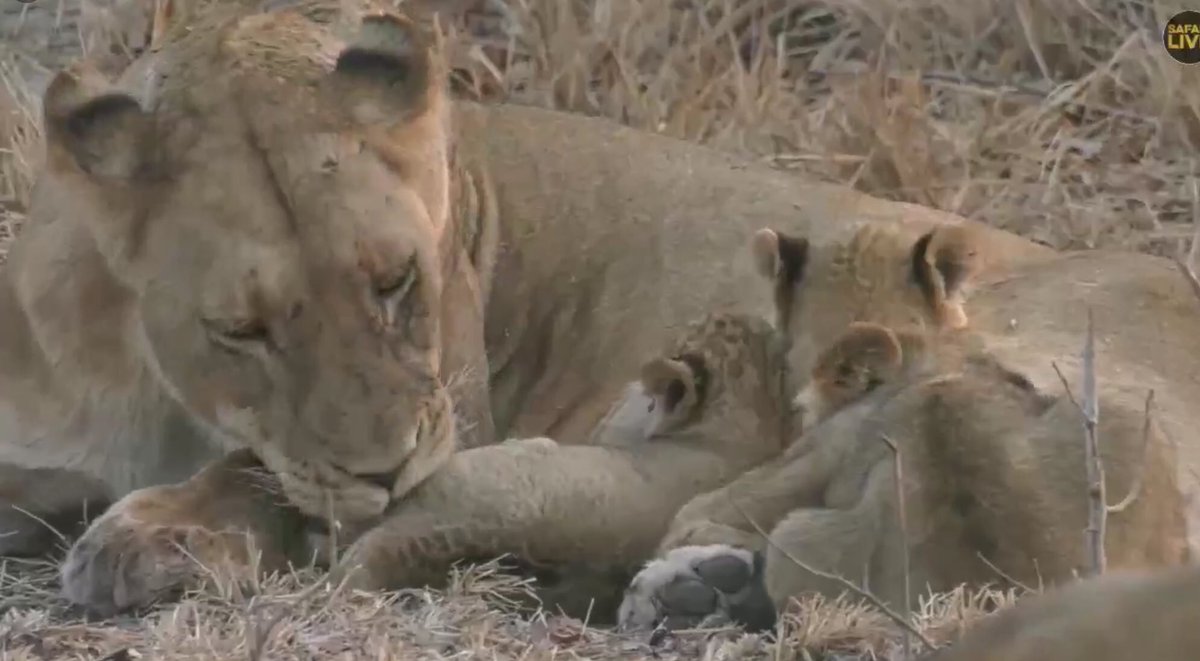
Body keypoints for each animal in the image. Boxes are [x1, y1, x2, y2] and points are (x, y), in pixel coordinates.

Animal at [0, 0, 1066, 615]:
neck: (152, 384)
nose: (389, 473)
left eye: (397, 282)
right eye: (242, 330)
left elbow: (261, 475)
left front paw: (152, 536)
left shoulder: (454, 413)